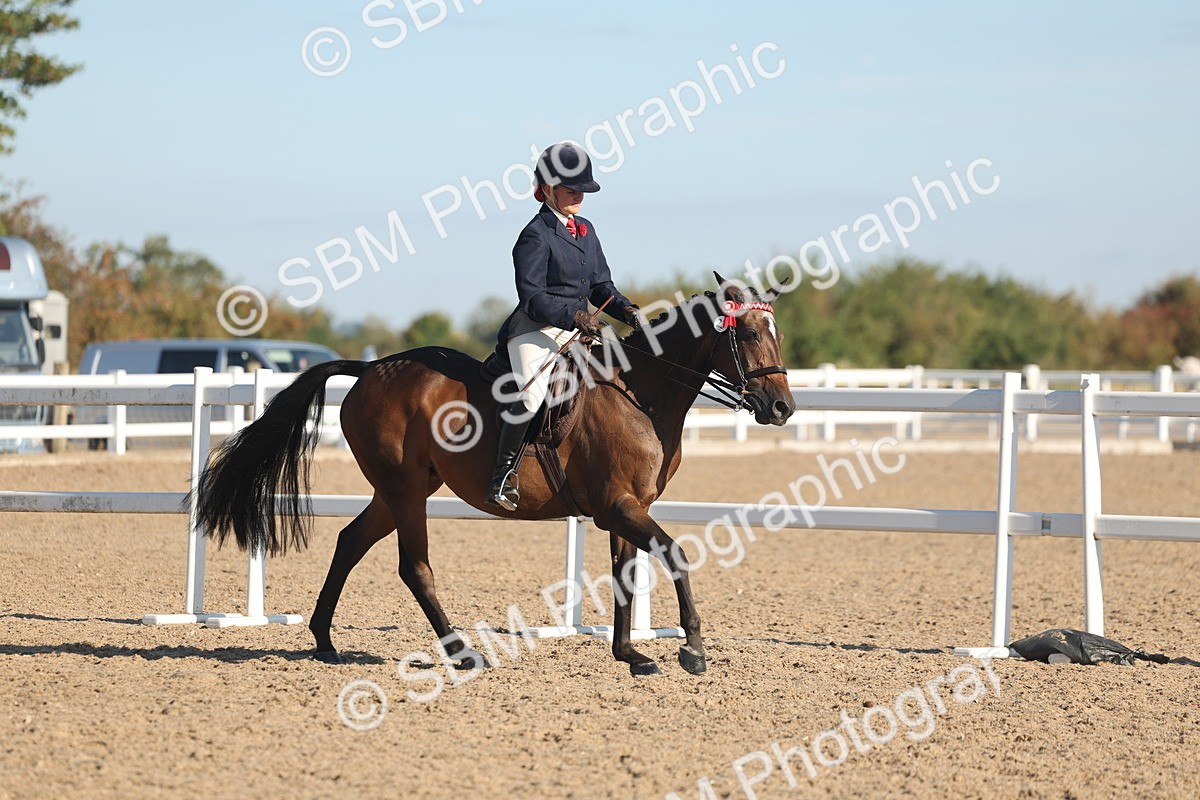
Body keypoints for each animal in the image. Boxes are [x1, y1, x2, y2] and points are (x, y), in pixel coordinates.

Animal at [195, 274, 796, 676]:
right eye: (747, 335)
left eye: (778, 333)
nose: (782, 408)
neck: (639, 395)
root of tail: (370, 369)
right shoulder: (619, 507)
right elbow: (676, 555)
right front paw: (692, 649)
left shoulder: (628, 509)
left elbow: (627, 573)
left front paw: (630, 654)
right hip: (406, 491)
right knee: (414, 567)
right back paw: (461, 654)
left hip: (401, 489)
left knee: (350, 542)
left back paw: (324, 641)